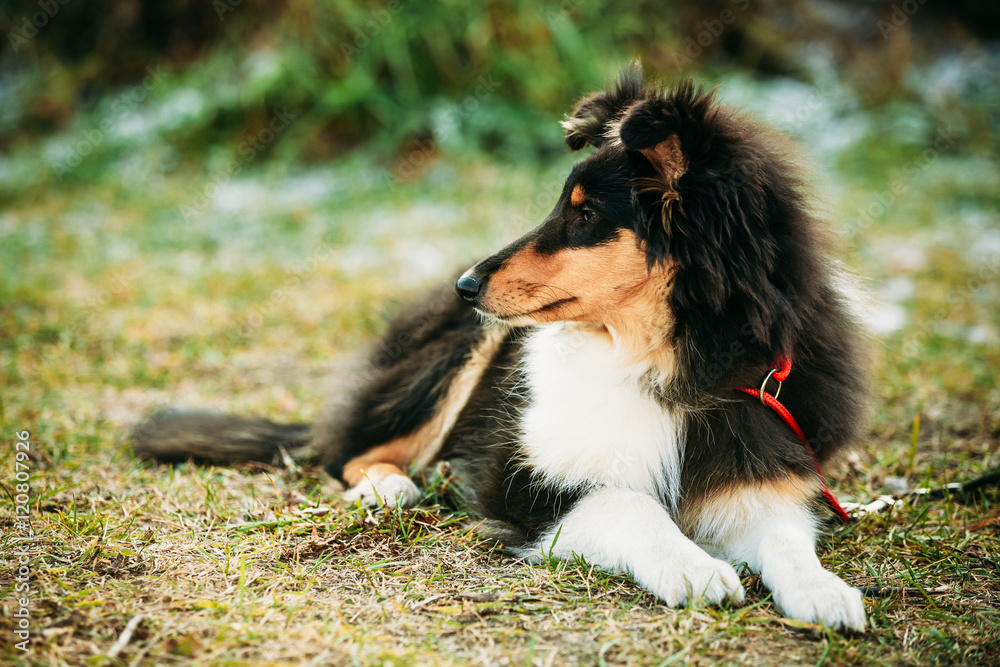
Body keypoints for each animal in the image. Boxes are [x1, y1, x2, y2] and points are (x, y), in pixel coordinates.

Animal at [133, 66, 868, 632]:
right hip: (460, 356)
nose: (467, 284)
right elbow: (626, 502)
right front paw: (694, 568)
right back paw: (392, 487)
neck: (662, 365)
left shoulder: (758, 468)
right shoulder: (524, 482)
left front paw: (825, 592)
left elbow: (785, 536)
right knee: (348, 452)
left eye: (584, 214)